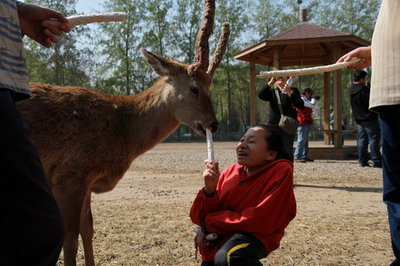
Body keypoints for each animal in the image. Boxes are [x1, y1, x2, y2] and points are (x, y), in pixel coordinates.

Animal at [17, 1, 230, 264]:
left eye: (210, 87)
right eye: (193, 88)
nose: (214, 124)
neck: (124, 129)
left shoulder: (87, 180)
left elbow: (88, 229)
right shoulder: (69, 174)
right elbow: (70, 239)